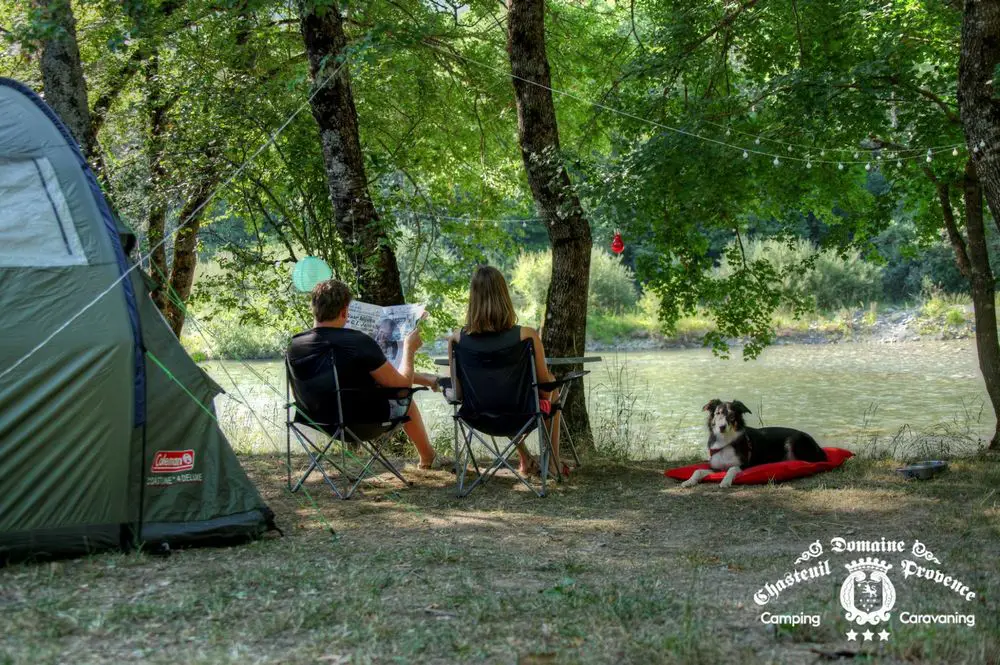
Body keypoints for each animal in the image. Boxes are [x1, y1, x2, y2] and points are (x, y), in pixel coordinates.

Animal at [680, 399, 827, 488]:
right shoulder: (716, 468)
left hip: (793, 441)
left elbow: (732, 469)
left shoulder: (744, 465)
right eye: (718, 413)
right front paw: (689, 481)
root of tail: (819, 448)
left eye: (732, 416)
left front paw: (725, 481)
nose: (722, 427)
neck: (726, 441)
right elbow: (698, 470)